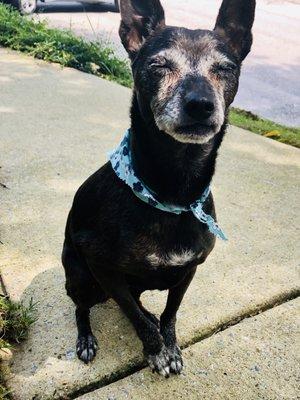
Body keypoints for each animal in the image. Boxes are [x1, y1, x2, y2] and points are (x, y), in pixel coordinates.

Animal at [62, 0, 255, 376]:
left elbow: (169, 313)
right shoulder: (101, 267)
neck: (172, 194)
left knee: (138, 302)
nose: (200, 104)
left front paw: (170, 345)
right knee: (83, 307)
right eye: (158, 65)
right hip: (80, 277)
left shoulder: (189, 270)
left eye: (224, 69)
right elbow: (135, 317)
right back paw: (86, 338)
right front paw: (155, 351)